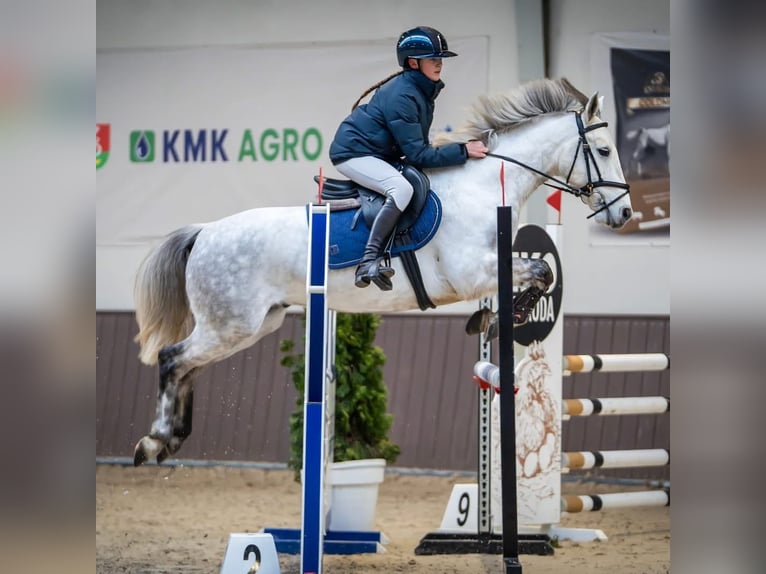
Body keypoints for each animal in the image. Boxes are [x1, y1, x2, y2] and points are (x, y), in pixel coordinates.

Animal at [131, 77, 633, 466]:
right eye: (604, 149)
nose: (625, 213)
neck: (480, 186)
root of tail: (204, 233)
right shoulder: (470, 271)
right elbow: (541, 270)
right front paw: (501, 317)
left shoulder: (491, 266)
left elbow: (536, 274)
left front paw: (494, 318)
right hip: (231, 323)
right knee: (173, 358)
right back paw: (153, 441)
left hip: (251, 325)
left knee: (188, 367)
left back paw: (170, 440)